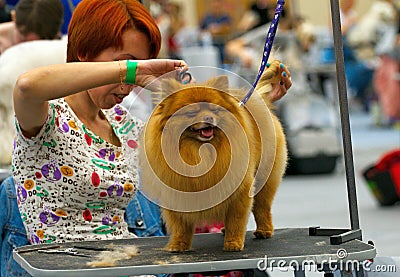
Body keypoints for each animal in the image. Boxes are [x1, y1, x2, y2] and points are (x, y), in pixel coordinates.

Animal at [139, 60, 286, 250]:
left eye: (214, 109)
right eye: (191, 112)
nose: (208, 118)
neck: (199, 151)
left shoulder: (240, 189)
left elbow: (236, 219)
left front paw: (233, 243)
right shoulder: (175, 190)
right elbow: (180, 224)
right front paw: (178, 244)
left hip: (265, 179)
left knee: (262, 207)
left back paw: (264, 231)